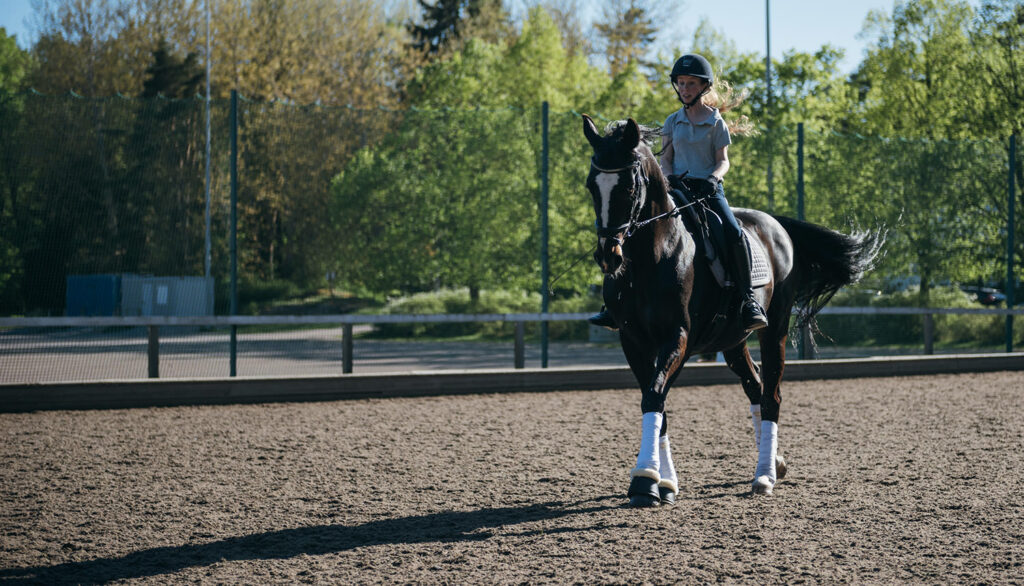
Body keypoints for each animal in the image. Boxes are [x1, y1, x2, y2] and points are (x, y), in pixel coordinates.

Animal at [585, 116, 880, 506]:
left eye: (630, 186)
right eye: (591, 185)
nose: (609, 256)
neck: (652, 257)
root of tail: (776, 224)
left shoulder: (679, 338)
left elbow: (655, 395)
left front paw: (646, 481)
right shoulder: (633, 342)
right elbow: (658, 402)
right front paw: (665, 483)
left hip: (775, 329)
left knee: (771, 396)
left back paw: (764, 476)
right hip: (733, 341)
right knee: (755, 388)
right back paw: (775, 462)